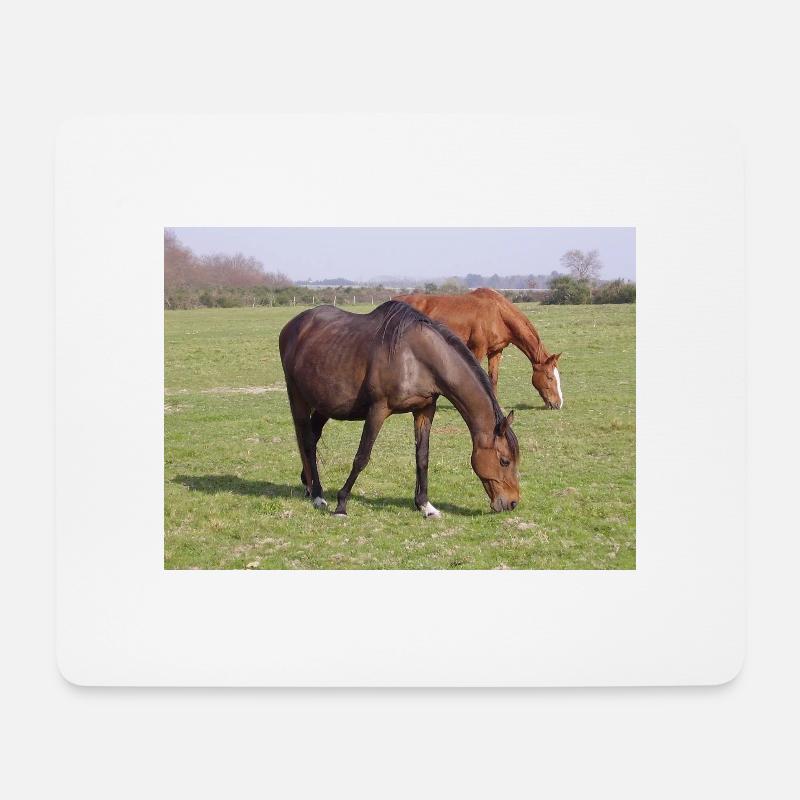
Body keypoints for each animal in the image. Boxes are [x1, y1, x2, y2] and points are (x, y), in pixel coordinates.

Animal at [278, 300, 520, 517]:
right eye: (504, 461)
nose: (512, 503)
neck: (415, 358)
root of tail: (292, 326)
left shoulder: (424, 410)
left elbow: (422, 457)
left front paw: (425, 505)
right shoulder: (378, 410)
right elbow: (362, 457)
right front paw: (342, 504)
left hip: (326, 404)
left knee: (313, 437)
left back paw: (309, 485)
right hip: (297, 397)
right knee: (307, 441)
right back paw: (318, 495)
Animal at [395, 288, 563, 409]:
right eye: (550, 377)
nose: (558, 404)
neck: (498, 313)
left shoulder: (496, 351)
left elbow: (493, 378)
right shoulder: (478, 349)